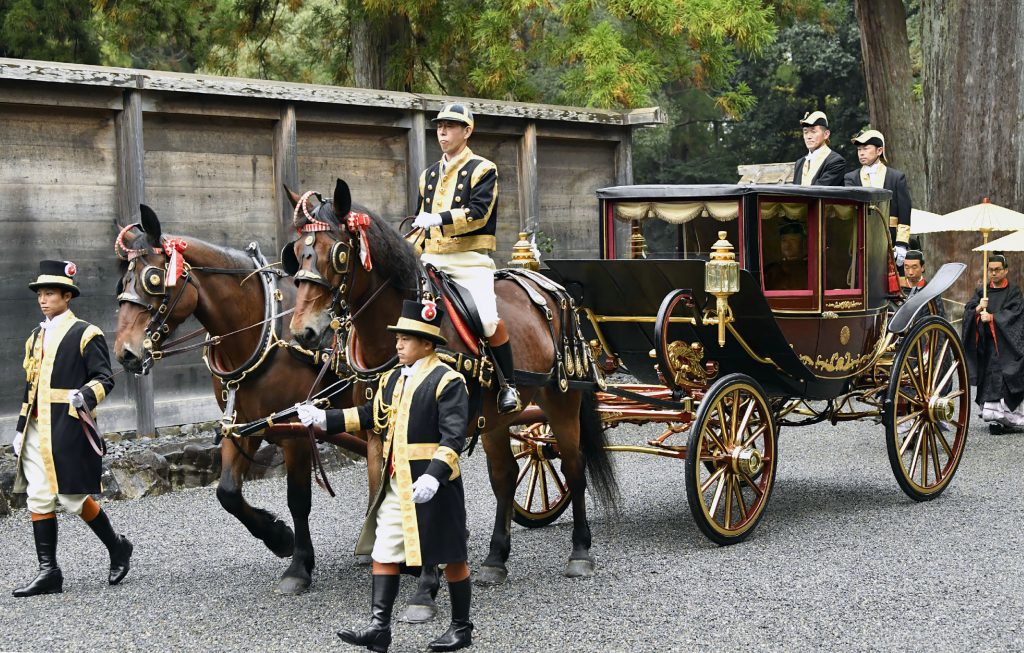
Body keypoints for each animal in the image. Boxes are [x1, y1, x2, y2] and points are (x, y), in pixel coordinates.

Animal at [113, 205, 354, 597]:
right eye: (123, 283)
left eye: (153, 279)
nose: (126, 353)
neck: (262, 332)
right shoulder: (241, 424)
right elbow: (227, 492)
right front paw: (279, 537)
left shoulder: (296, 432)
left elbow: (298, 500)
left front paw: (299, 566)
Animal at [284, 179, 614, 581]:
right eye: (295, 252)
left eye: (338, 253)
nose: (303, 331)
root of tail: (546, 284)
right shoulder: (377, 426)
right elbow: (381, 487)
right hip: (494, 417)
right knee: (506, 475)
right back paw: (495, 558)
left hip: (562, 401)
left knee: (573, 467)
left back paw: (580, 551)